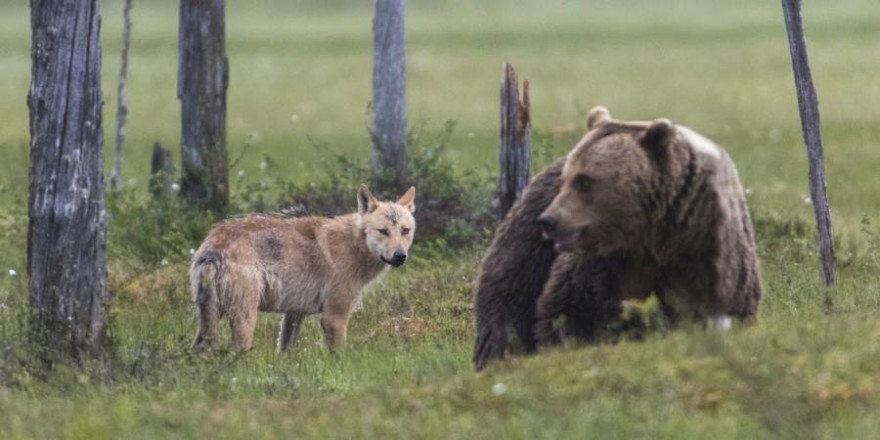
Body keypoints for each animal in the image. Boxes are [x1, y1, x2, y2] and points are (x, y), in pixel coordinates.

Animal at [190, 184, 416, 352]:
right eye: (383, 231)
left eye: (405, 231)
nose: (400, 256)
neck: (353, 244)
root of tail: (214, 245)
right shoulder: (334, 317)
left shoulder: (294, 314)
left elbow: (284, 351)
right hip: (245, 321)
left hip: (209, 322)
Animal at [474, 107, 764, 372]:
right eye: (568, 178)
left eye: (584, 181)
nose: (548, 221)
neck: (650, 237)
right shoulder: (601, 264)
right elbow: (570, 309)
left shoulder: (706, 252)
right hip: (527, 247)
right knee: (507, 300)